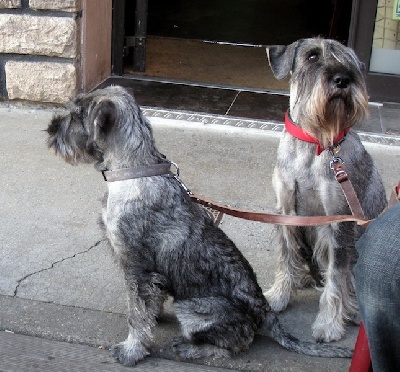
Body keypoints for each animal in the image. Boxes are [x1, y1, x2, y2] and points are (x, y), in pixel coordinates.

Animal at [47, 85, 354, 366]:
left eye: (76, 115)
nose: (50, 130)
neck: (132, 170)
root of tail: (265, 313)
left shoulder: (137, 268)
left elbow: (136, 313)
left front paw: (131, 350)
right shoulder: (149, 274)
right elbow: (148, 307)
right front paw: (151, 323)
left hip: (191, 309)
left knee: (235, 345)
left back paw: (188, 348)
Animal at [266, 38, 388, 342]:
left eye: (350, 62)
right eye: (312, 56)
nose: (343, 79)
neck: (314, 140)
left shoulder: (338, 223)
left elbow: (336, 277)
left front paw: (328, 324)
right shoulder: (285, 212)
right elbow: (286, 257)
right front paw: (279, 296)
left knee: (349, 283)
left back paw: (352, 310)